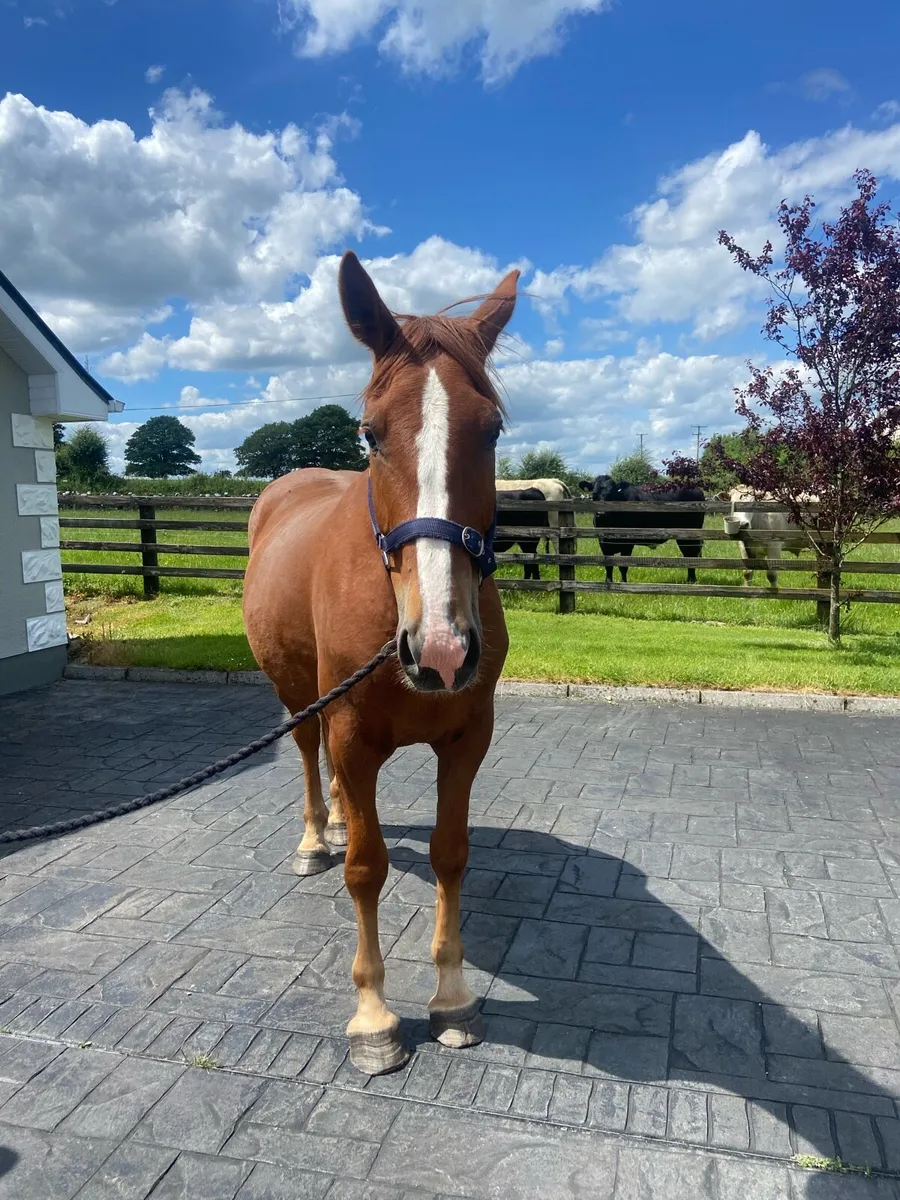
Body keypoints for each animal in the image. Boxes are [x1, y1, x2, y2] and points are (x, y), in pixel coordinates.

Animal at [243, 252, 519, 1076]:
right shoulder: (353, 737)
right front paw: (373, 1017)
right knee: (310, 759)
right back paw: (314, 838)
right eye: (369, 434)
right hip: (298, 695)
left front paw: (453, 998)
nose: (442, 650)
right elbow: (366, 868)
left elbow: (450, 854)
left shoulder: (466, 740)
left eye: (493, 430)